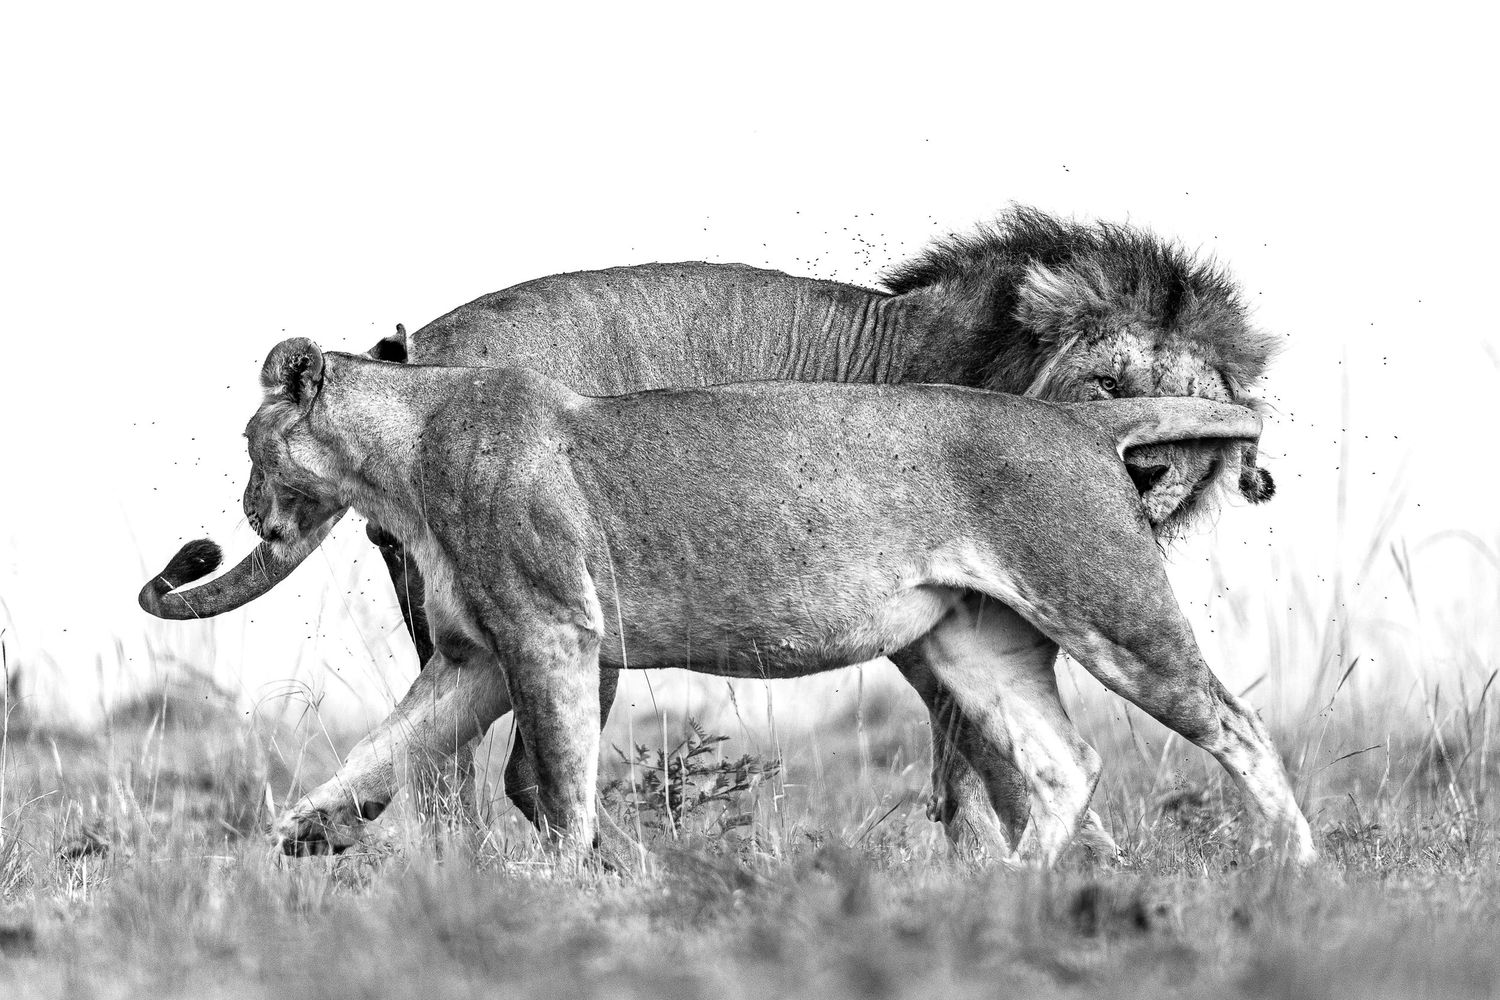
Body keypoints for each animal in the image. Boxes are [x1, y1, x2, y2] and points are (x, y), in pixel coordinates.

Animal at [140, 207, 1279, 857]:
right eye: (1109, 377)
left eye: (1196, 421)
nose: (1148, 472)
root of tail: (424, 338)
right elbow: (982, 770)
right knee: (510, 777)